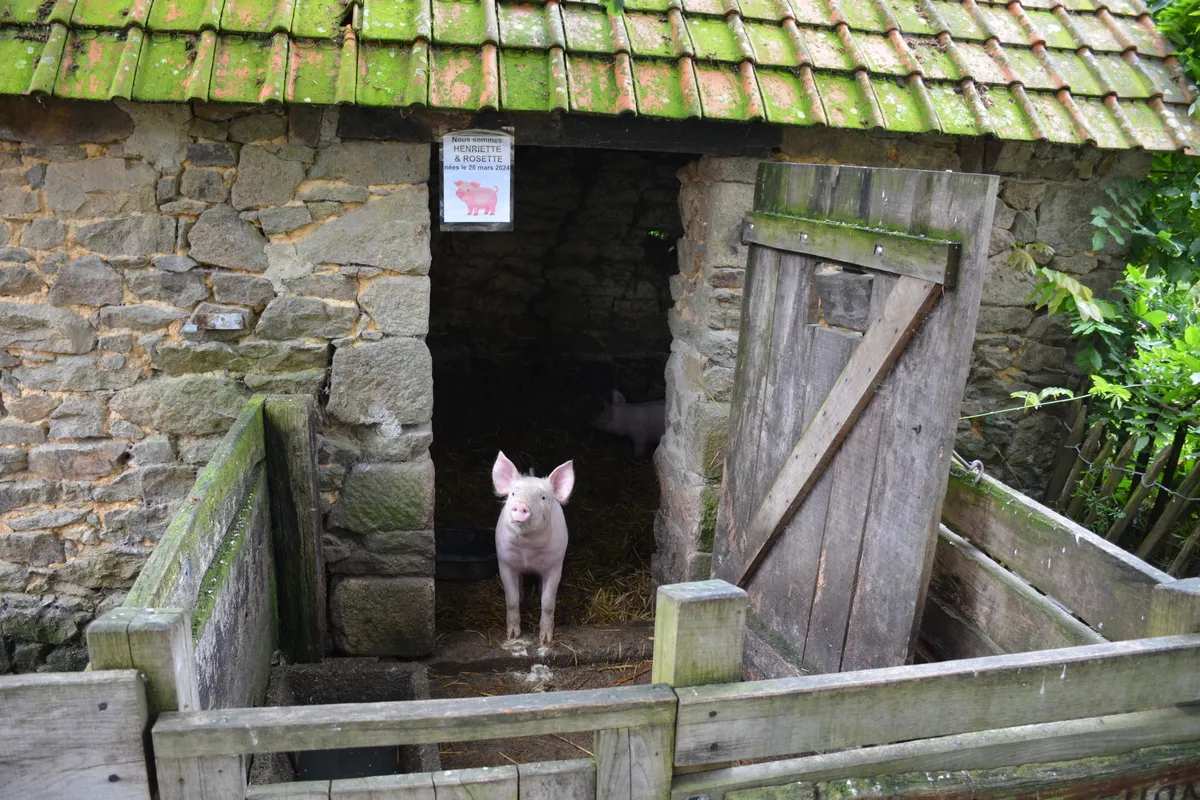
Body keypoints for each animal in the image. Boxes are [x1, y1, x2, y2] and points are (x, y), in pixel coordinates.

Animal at [492, 451, 575, 644]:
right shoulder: (505, 563)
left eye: (543, 497)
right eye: (513, 493)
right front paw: (512, 636)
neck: (527, 551)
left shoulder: (555, 566)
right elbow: (511, 600)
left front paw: (545, 640)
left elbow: (548, 603)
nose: (521, 505)